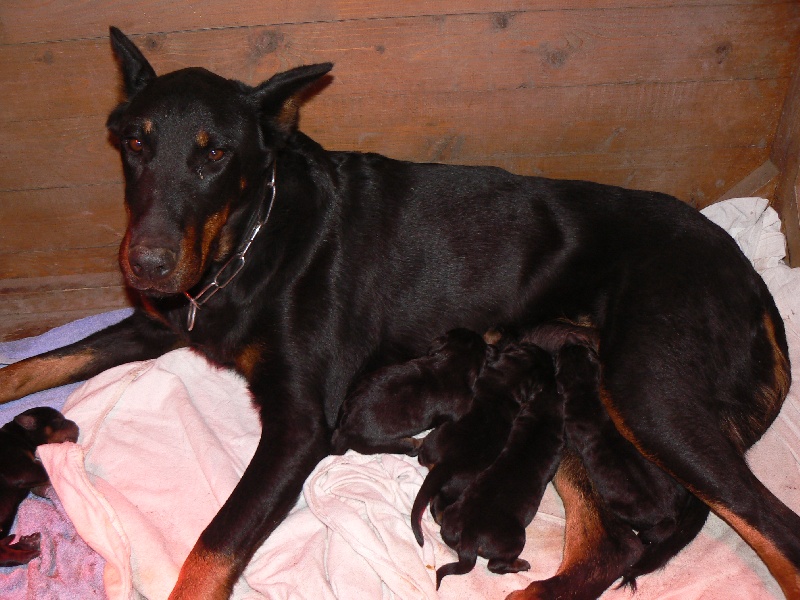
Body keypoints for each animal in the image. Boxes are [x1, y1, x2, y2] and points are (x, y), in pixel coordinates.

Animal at [0, 406, 80, 564]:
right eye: (58, 421)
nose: (75, 424)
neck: (17, 434)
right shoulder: (25, 470)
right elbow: (46, 469)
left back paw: (28, 542)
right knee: (3, 554)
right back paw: (28, 552)